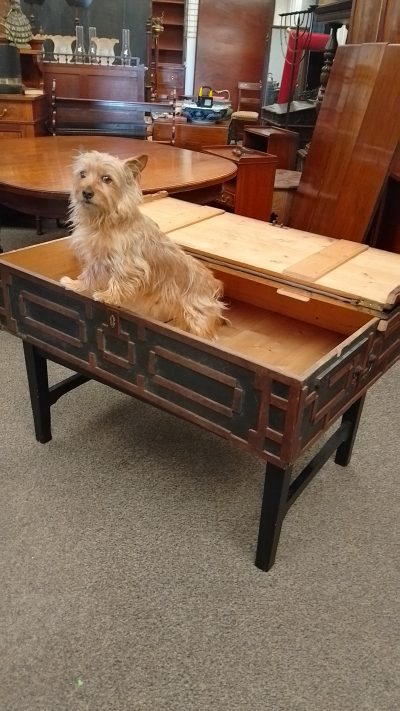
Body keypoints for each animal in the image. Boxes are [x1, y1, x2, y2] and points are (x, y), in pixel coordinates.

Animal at [61, 151, 227, 340]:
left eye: (107, 179)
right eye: (82, 174)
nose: (86, 192)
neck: (104, 221)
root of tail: (213, 283)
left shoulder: (128, 264)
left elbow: (120, 279)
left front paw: (107, 296)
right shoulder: (96, 259)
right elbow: (89, 276)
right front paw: (77, 286)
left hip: (197, 317)